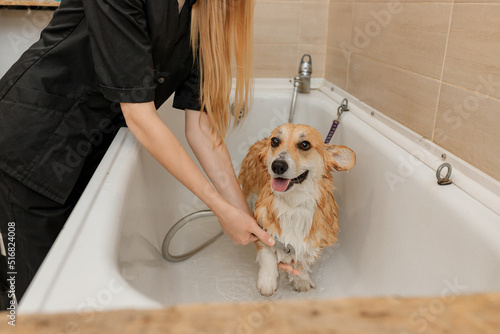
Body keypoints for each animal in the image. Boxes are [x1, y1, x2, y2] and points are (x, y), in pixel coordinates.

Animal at [238, 124, 356, 296]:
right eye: (275, 141)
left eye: (305, 145)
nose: (278, 165)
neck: (293, 204)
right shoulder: (262, 225)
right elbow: (268, 256)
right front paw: (267, 282)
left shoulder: (313, 239)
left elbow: (301, 262)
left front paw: (301, 280)